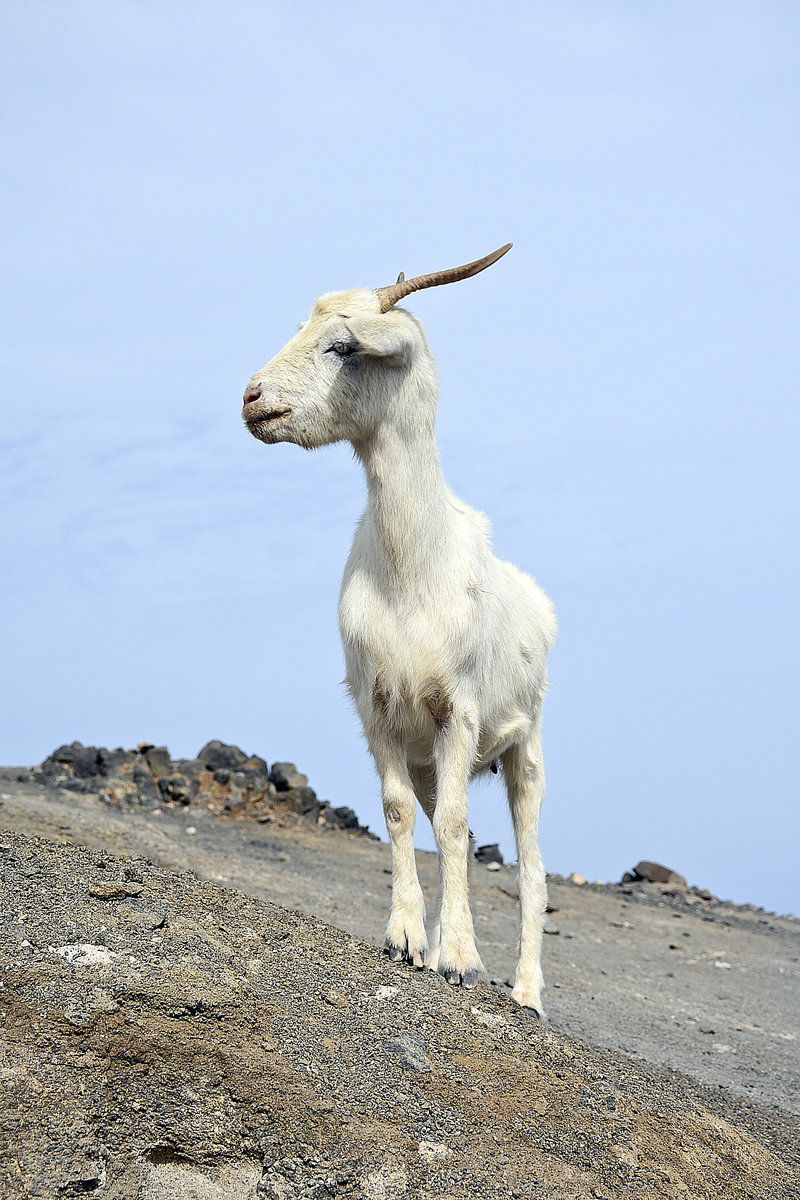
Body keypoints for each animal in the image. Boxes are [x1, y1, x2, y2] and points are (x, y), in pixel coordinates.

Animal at [242, 248, 556, 1017]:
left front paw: (465, 960)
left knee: (532, 869)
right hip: (430, 757)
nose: (252, 398)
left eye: (342, 345)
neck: (412, 570)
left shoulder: (459, 711)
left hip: (525, 743)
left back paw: (527, 993)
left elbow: (452, 827)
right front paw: (409, 941)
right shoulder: (377, 710)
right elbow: (401, 816)